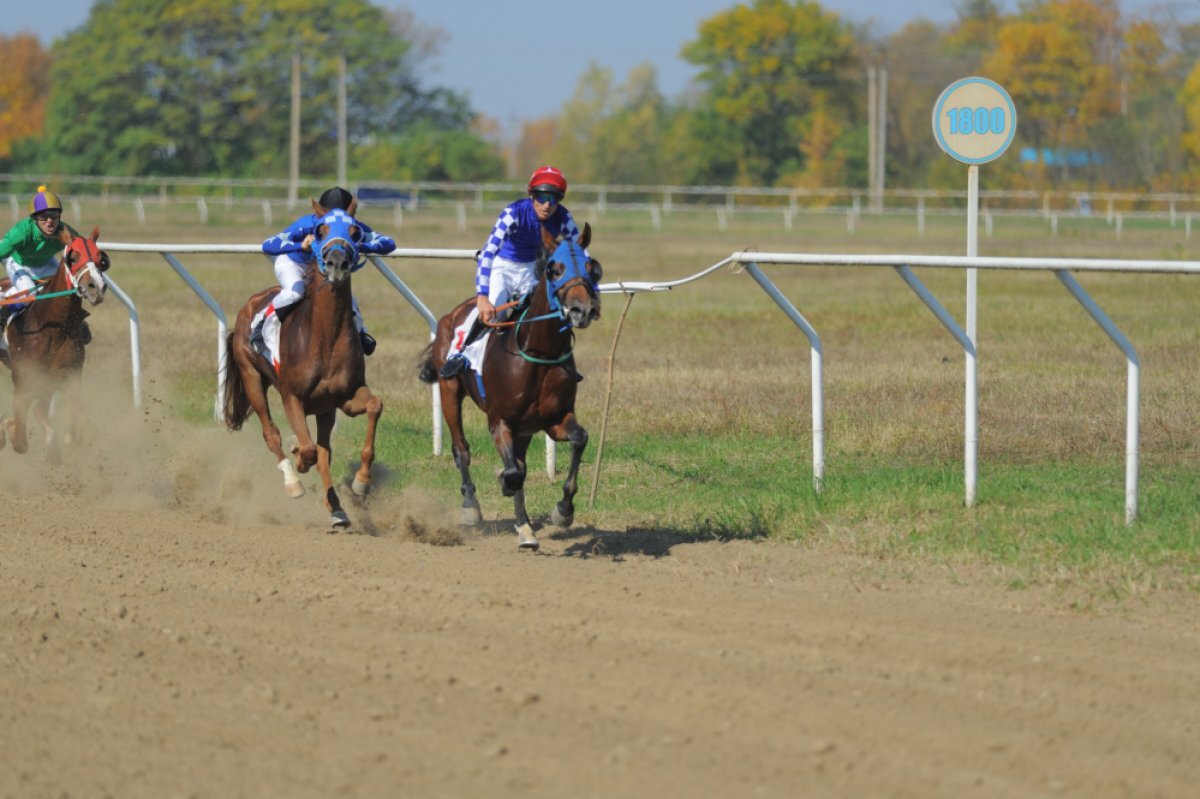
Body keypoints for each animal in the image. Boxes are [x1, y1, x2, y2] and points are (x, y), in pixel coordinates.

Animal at [0, 226, 110, 458]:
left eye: (101, 259)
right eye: (73, 258)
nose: (96, 287)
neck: (53, 327)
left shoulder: (69, 374)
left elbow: (70, 415)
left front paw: (60, 443)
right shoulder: (22, 379)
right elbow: (20, 441)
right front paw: (9, 429)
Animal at [220, 199, 379, 525]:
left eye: (356, 232)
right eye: (320, 230)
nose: (337, 264)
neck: (325, 336)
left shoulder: (344, 397)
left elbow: (374, 406)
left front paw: (362, 480)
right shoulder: (291, 396)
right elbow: (306, 449)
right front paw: (298, 458)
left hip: (324, 408)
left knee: (325, 451)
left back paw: (338, 510)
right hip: (252, 378)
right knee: (271, 433)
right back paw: (292, 481)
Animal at [420, 220, 604, 551]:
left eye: (591, 268)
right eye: (555, 269)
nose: (581, 310)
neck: (539, 352)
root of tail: (452, 314)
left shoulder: (554, 420)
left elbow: (578, 440)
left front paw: (562, 511)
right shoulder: (500, 421)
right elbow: (514, 472)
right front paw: (504, 484)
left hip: (525, 428)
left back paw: (524, 527)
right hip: (450, 389)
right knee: (461, 449)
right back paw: (471, 505)